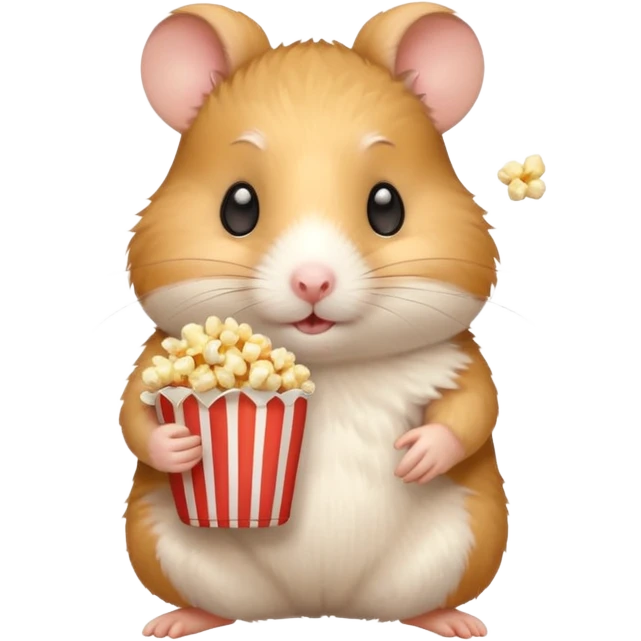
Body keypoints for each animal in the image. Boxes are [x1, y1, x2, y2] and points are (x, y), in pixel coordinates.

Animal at [121, 2, 509, 639]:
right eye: (237, 206)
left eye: (387, 206)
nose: (313, 282)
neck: (328, 365)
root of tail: (321, 604)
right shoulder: (157, 355)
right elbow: (135, 413)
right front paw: (178, 444)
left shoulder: (457, 355)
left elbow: (475, 406)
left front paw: (419, 455)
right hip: (164, 546)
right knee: (213, 600)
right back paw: (177, 622)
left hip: (468, 540)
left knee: (421, 599)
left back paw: (453, 621)